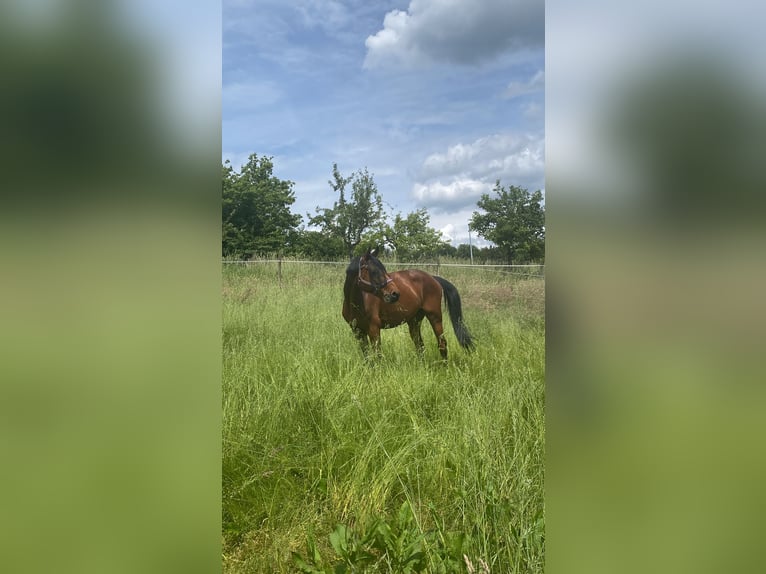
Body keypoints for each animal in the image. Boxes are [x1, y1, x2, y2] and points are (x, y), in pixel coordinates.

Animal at [342, 246, 474, 362]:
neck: (357, 302)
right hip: (414, 321)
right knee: (420, 345)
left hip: (435, 317)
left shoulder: (374, 329)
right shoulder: (357, 331)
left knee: (442, 343)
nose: (395, 294)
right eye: (374, 271)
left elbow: (378, 355)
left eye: (384, 270)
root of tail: (433, 278)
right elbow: (367, 355)